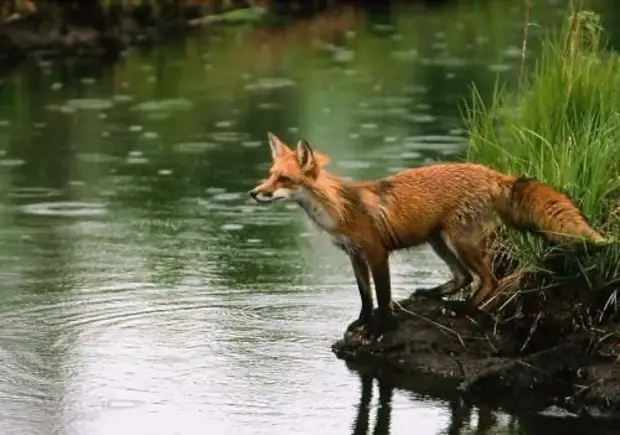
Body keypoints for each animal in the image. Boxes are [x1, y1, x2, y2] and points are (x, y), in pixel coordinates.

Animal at [248, 133, 604, 340]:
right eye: (269, 175)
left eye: (283, 179)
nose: (254, 193)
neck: (341, 209)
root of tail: (492, 173)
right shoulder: (354, 256)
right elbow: (365, 297)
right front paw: (362, 323)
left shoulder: (376, 253)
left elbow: (382, 296)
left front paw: (381, 329)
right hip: (438, 241)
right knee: (463, 277)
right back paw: (431, 295)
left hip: (459, 241)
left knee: (489, 280)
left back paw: (463, 311)